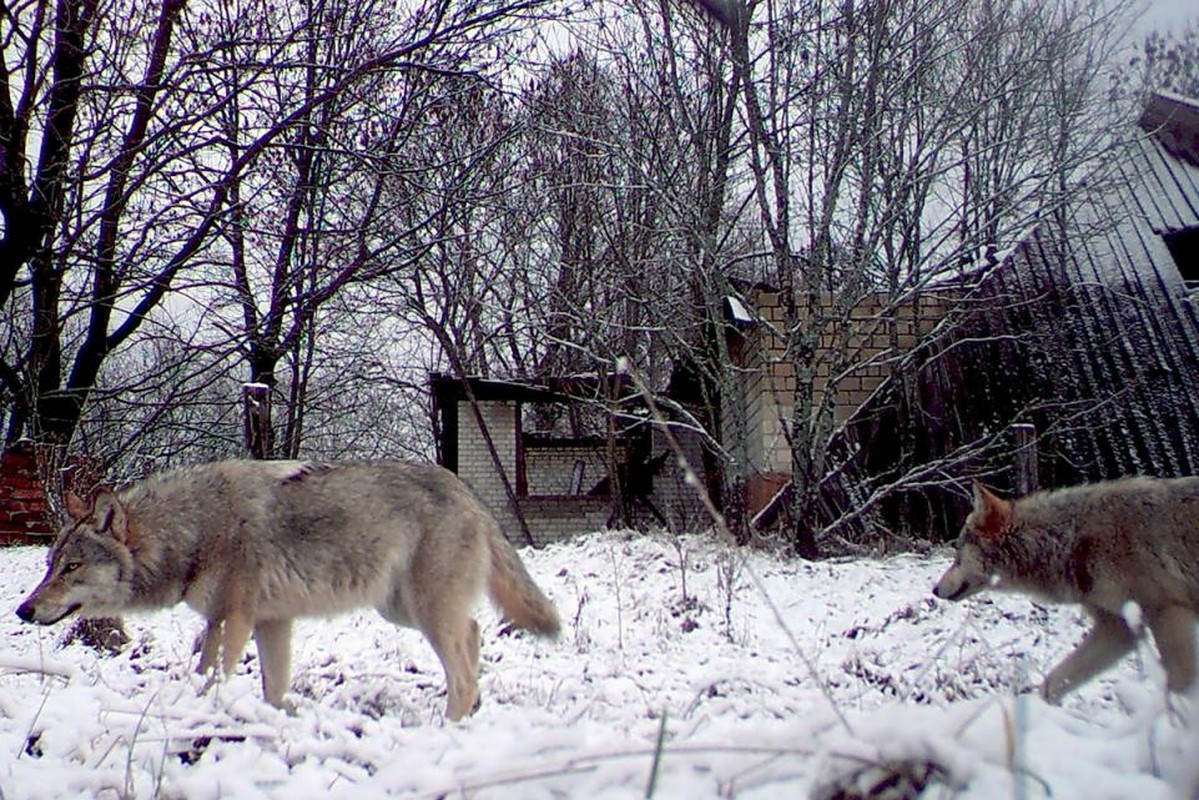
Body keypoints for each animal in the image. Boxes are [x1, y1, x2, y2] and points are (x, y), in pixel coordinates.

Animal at [14, 460, 558, 724]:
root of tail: (469, 492)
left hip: (423, 613)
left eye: (72, 567)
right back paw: (476, 710)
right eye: (50, 566)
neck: (194, 529)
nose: (23, 609)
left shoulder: (232, 619)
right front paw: (268, 721)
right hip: (402, 610)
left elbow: (211, 677)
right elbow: (271, 688)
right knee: (475, 632)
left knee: (462, 669)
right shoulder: (268, 622)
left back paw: (448, 729)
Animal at [930, 479, 1199, 705]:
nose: (934, 590)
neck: (1070, 540)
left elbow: (1178, 687)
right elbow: (1054, 682)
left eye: (957, 554)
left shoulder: (1168, 613)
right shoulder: (1118, 629)